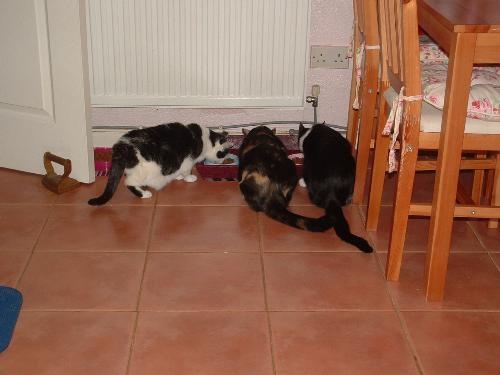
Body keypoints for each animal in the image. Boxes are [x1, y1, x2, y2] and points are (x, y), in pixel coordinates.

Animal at [88, 122, 230, 206]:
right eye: (224, 153)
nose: (224, 161)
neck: (205, 140)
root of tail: (122, 146)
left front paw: (178, 177)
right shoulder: (188, 160)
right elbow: (186, 170)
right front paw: (188, 177)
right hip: (144, 169)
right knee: (129, 183)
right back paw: (144, 194)